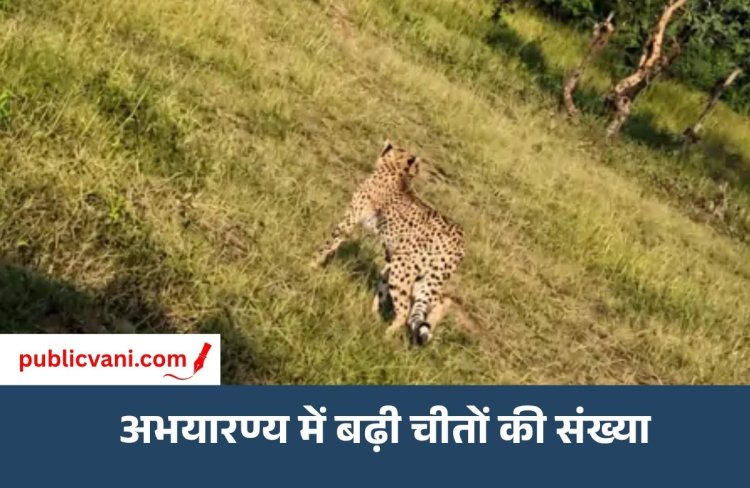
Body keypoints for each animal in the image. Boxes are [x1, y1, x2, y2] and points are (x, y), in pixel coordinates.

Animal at [310, 139, 465, 346]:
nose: (387, 144)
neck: (398, 171)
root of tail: (460, 239)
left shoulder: (349, 221)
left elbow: (328, 244)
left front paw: (309, 266)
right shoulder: (388, 254)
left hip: (404, 270)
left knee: (406, 311)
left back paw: (384, 337)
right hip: (421, 276)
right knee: (439, 303)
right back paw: (412, 337)